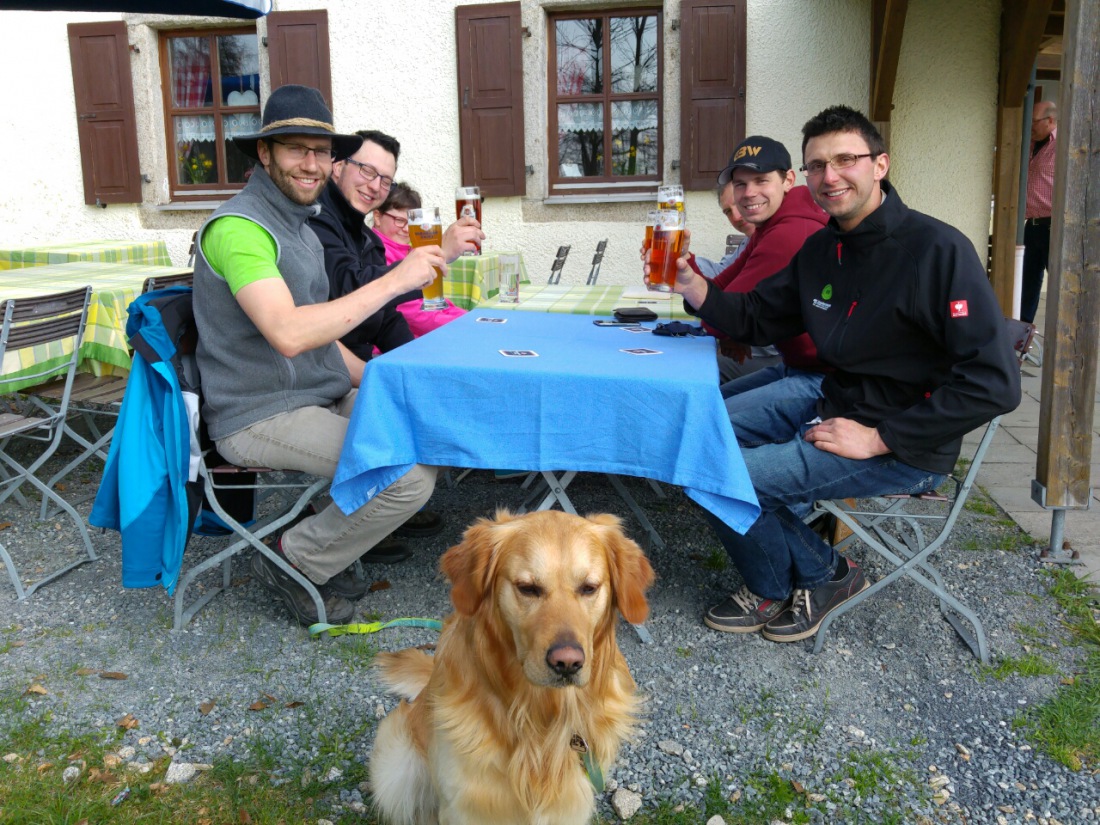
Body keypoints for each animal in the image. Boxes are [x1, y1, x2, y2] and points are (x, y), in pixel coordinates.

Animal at [374, 510, 655, 825]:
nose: (567, 663)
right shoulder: (465, 803)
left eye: (589, 588)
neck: (539, 715)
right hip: (396, 767)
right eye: (528, 588)